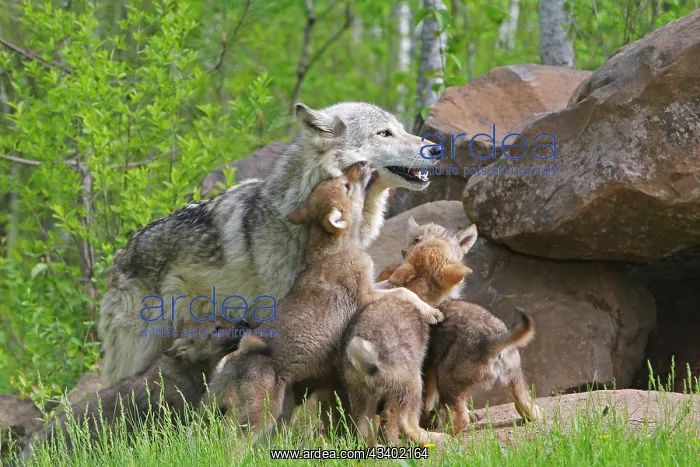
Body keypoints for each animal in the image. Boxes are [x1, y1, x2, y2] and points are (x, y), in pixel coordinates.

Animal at [99, 102, 439, 385]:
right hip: (139, 349)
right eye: (384, 133)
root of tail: (118, 256)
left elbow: (402, 290)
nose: (436, 148)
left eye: (401, 128)